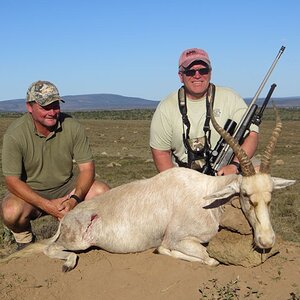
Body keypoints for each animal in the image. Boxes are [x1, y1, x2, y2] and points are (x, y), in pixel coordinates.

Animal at [0, 108, 296, 272]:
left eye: (270, 196)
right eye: (245, 195)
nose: (267, 241)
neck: (206, 197)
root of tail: (67, 218)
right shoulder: (178, 239)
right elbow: (207, 258)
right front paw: (162, 252)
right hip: (77, 242)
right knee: (50, 249)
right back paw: (68, 263)